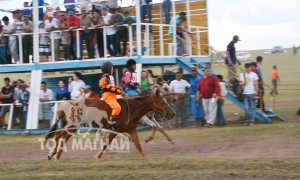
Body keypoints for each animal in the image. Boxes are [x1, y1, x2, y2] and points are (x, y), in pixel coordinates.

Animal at [44, 89, 176, 160]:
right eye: (162, 102)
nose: (172, 113)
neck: (131, 108)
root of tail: (71, 103)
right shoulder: (116, 130)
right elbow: (106, 144)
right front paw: (97, 156)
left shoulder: (132, 129)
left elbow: (139, 145)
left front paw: (144, 158)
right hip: (73, 125)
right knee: (59, 135)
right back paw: (53, 155)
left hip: (74, 126)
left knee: (62, 136)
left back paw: (55, 155)